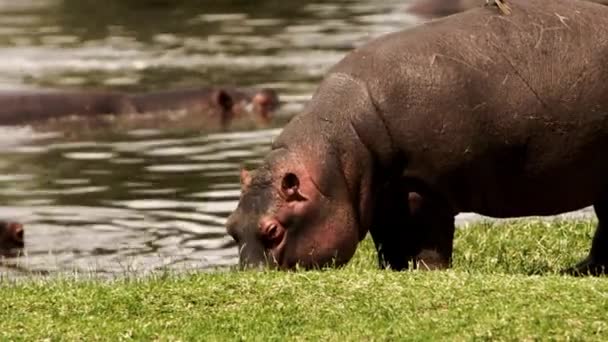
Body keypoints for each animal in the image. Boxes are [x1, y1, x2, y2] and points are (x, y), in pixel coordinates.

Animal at [226, 0, 608, 276]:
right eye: (231, 228)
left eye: (273, 231)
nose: (250, 279)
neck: (336, 152)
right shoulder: (379, 194)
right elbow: (388, 241)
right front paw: (393, 272)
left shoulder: (426, 186)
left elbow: (430, 238)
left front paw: (428, 272)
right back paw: (582, 269)